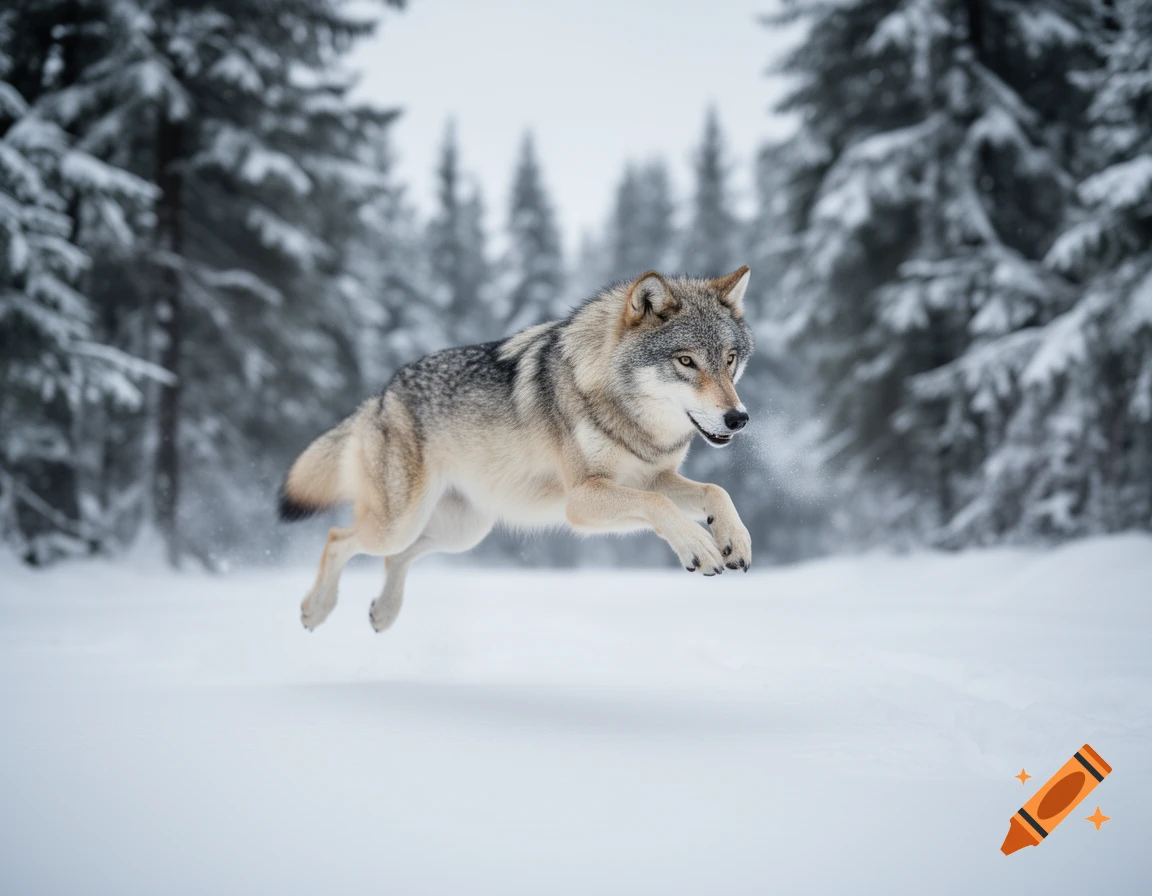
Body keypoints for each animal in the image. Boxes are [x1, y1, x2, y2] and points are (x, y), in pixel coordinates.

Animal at [279, 266, 756, 631]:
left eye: (730, 359)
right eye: (686, 361)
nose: (738, 418)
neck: (625, 412)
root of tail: (379, 396)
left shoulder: (654, 476)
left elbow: (715, 491)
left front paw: (733, 538)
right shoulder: (581, 501)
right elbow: (660, 505)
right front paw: (698, 545)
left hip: (460, 532)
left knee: (393, 559)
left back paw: (384, 612)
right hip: (400, 524)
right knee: (338, 537)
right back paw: (315, 609)